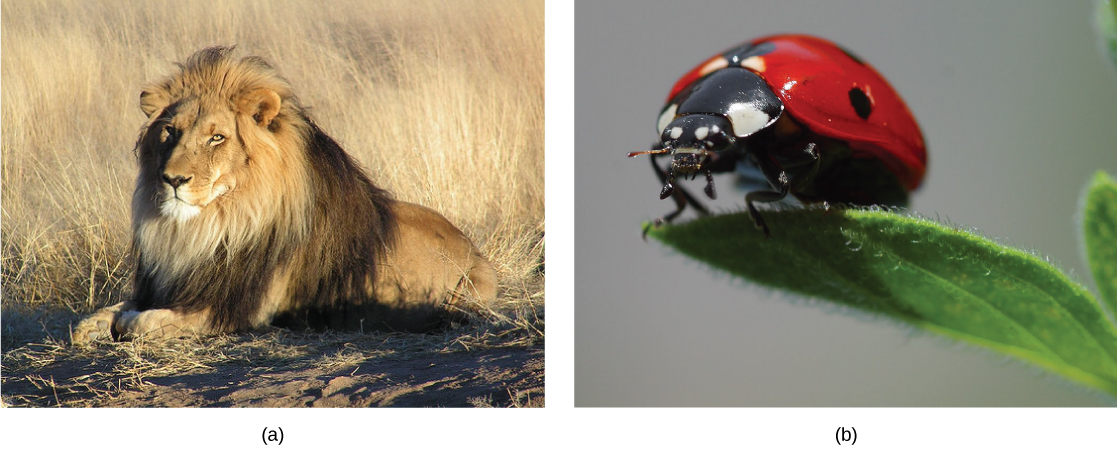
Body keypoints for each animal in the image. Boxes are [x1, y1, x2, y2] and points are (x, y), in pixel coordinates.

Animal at [72, 47, 495, 344]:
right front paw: (93, 326)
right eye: (171, 132)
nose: (173, 179)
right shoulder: (172, 284)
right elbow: (108, 312)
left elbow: (142, 322)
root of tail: (473, 248)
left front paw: (126, 323)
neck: (209, 226)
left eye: (217, 137)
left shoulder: (234, 310)